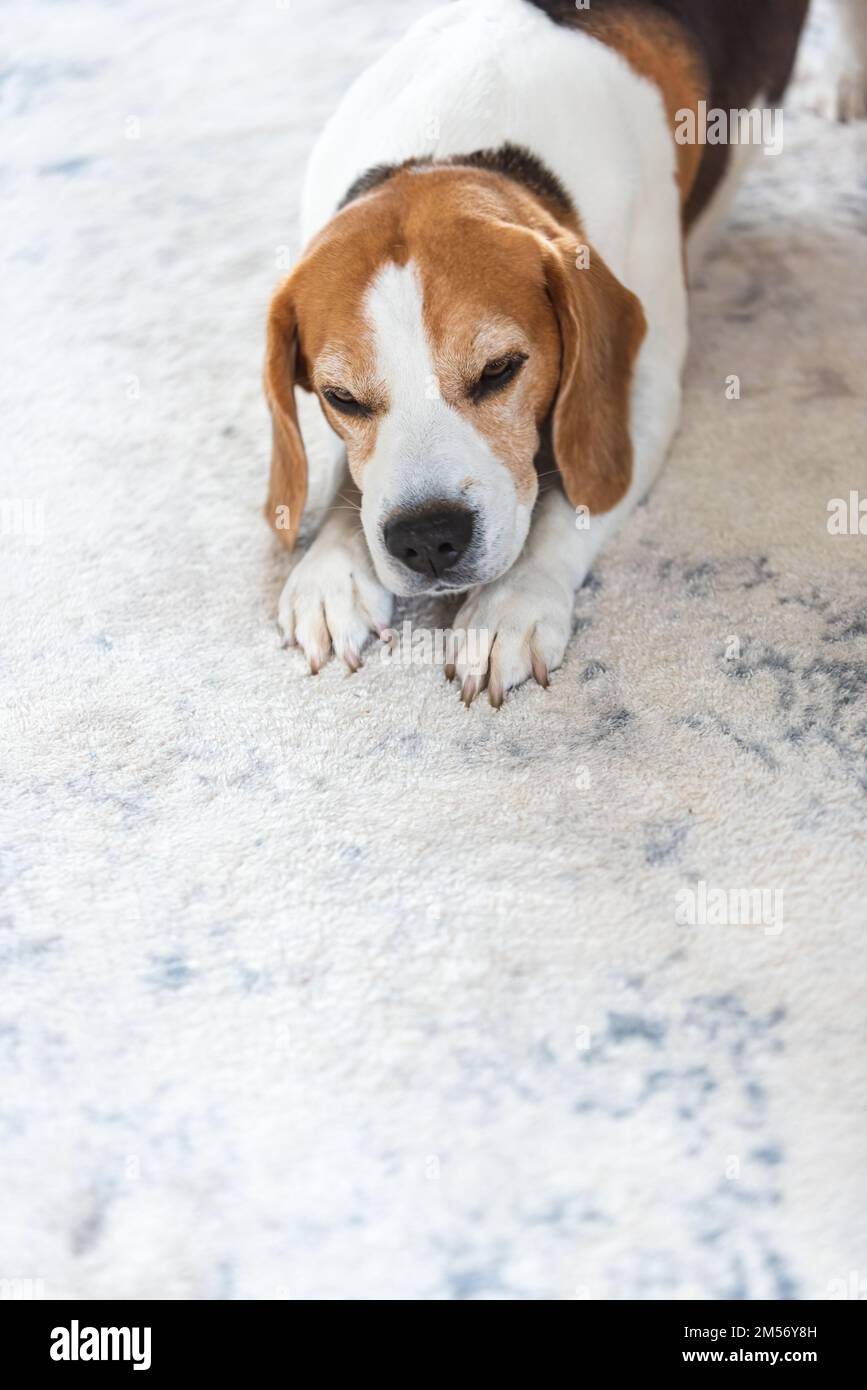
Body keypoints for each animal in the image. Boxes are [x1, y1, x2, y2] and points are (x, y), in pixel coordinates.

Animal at [263, 0, 867, 700]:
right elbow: (350, 482)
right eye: (342, 398)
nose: (428, 540)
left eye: (499, 370)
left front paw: (512, 603)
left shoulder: (639, 391)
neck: (454, 144)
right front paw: (331, 569)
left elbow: (569, 500)